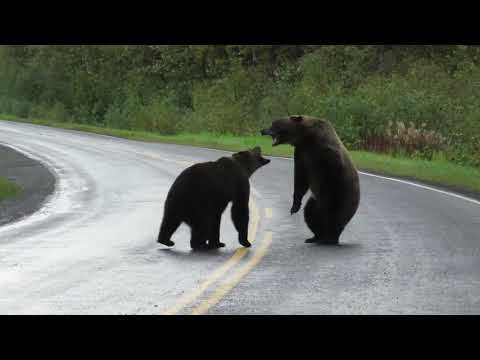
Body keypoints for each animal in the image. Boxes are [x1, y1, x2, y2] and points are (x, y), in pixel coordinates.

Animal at [262, 115, 360, 245]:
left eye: (274, 124)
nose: (262, 130)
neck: (307, 137)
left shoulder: (325, 155)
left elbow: (328, 176)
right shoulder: (302, 153)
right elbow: (300, 178)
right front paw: (294, 207)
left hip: (345, 199)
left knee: (335, 216)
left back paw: (330, 238)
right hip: (315, 200)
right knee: (310, 212)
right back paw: (315, 237)